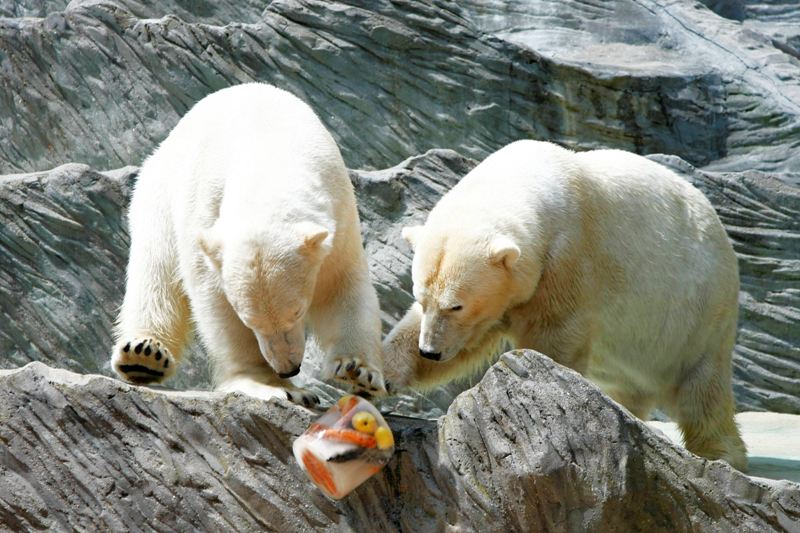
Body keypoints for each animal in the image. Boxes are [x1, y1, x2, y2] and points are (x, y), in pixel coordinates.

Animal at [111, 82, 384, 404]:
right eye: (250, 321)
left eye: (298, 311)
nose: (288, 368)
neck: (266, 158)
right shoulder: (205, 214)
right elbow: (215, 299)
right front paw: (271, 385)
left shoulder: (337, 209)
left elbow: (341, 283)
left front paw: (359, 371)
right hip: (159, 193)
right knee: (156, 269)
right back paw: (144, 356)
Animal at [384, 139, 748, 468]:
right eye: (422, 298)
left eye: (456, 305)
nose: (430, 350)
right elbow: (460, 336)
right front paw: (381, 373)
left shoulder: (567, 257)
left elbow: (553, 335)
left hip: (698, 310)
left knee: (701, 386)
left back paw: (721, 454)